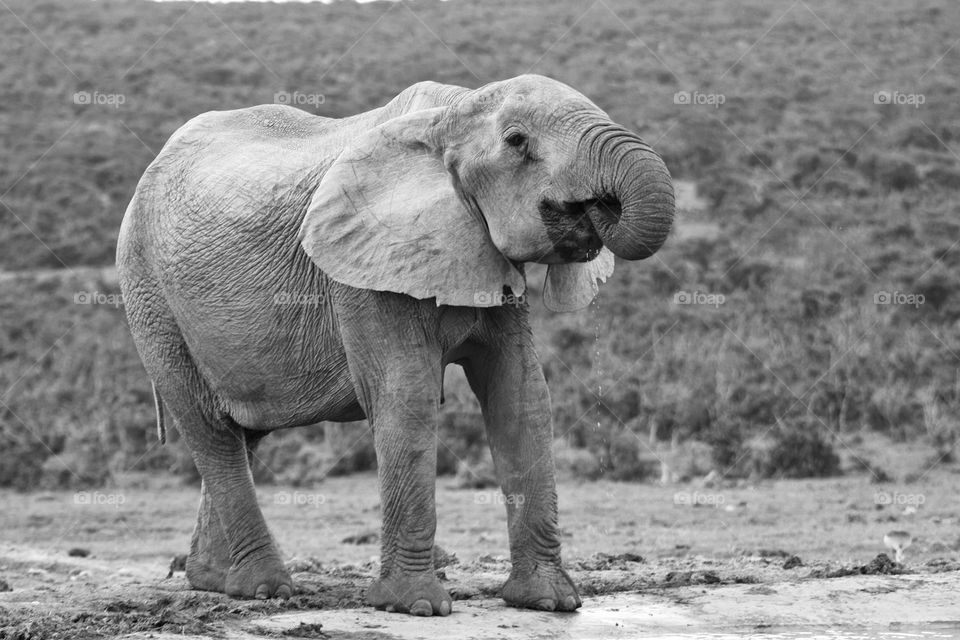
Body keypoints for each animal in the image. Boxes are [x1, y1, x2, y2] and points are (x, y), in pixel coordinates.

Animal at [116, 74, 676, 616]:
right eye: (518, 141)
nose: (599, 207)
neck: (452, 113)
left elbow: (521, 396)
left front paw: (550, 602)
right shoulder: (362, 265)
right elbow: (406, 396)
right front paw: (417, 606)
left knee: (244, 431)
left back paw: (215, 581)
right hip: (148, 294)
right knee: (210, 429)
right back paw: (265, 589)